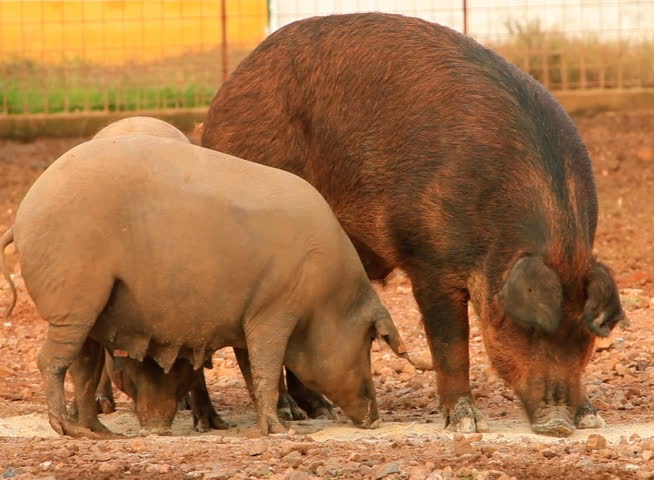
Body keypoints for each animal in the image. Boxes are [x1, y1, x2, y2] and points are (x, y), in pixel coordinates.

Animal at [0, 134, 408, 437]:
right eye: (369, 342)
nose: (375, 418)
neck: (325, 298)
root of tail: (23, 213)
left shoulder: (249, 317)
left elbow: (253, 371)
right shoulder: (274, 310)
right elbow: (267, 367)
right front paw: (281, 431)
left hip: (87, 312)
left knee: (83, 368)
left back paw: (100, 433)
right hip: (74, 301)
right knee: (50, 361)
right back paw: (67, 429)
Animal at [201, 12, 625, 437]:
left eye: (583, 334)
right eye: (528, 329)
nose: (559, 424)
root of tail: (226, 91)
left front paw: (593, 418)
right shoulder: (429, 260)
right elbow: (450, 345)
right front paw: (465, 424)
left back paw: (320, 411)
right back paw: (274, 415)